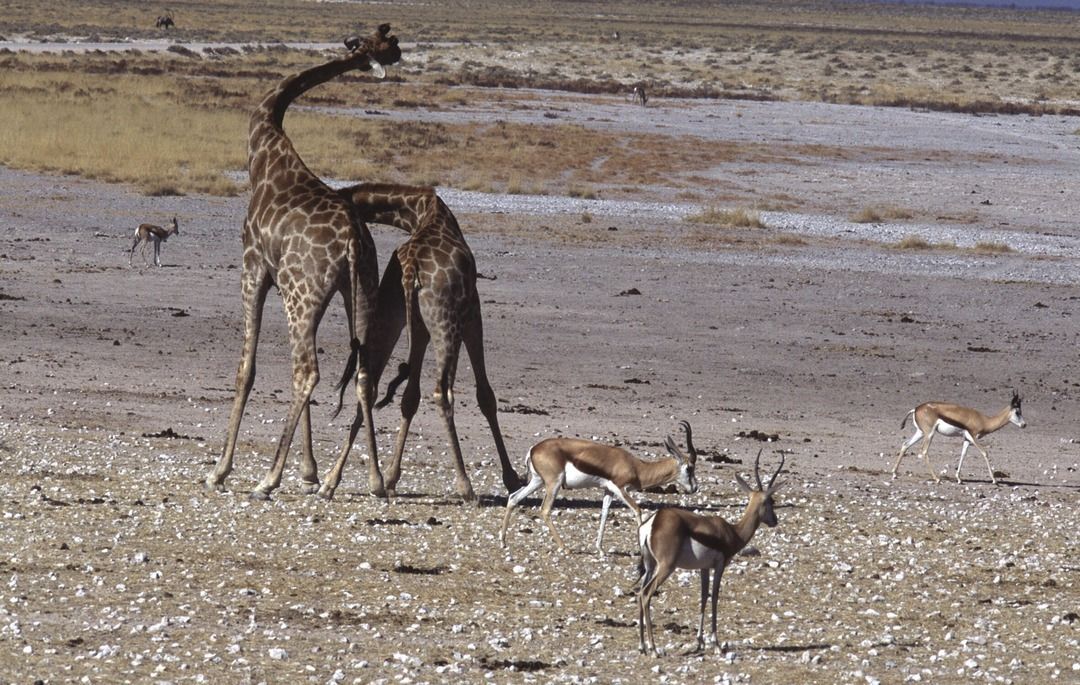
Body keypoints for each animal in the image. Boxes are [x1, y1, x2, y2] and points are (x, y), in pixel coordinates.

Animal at [203, 24, 401, 499]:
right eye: (383, 41)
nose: (399, 53)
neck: (262, 145)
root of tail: (352, 241)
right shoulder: (295, 285)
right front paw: (310, 472)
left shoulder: (254, 267)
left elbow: (247, 368)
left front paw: (220, 469)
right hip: (357, 291)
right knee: (363, 374)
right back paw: (373, 481)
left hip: (303, 292)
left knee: (307, 372)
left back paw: (268, 479)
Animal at [328, 182, 522, 501]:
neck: (420, 210)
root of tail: (410, 269)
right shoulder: (473, 312)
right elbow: (485, 396)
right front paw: (512, 479)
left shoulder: (417, 327)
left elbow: (409, 398)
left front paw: (392, 477)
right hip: (446, 321)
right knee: (442, 392)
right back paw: (465, 486)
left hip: (390, 315)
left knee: (366, 382)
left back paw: (334, 481)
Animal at [498, 417, 699, 553]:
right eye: (689, 468)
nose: (695, 488)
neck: (636, 466)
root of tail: (533, 449)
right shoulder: (620, 488)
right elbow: (637, 510)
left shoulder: (608, 491)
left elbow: (604, 514)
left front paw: (600, 549)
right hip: (553, 484)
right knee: (545, 509)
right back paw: (565, 547)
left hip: (537, 481)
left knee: (513, 498)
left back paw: (503, 541)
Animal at [635, 447, 781, 656]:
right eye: (770, 501)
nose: (774, 520)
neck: (733, 532)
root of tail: (654, 521)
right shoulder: (719, 566)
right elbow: (714, 597)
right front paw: (717, 644)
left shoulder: (703, 568)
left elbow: (703, 597)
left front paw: (700, 642)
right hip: (665, 567)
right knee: (646, 594)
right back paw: (654, 649)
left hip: (650, 565)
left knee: (640, 593)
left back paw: (642, 646)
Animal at [894, 388, 1028, 486]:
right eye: (1017, 412)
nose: (1024, 425)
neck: (984, 420)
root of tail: (915, 409)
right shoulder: (973, 436)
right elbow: (985, 453)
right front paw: (994, 480)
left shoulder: (966, 439)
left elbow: (963, 454)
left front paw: (959, 478)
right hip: (930, 434)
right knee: (924, 451)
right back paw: (937, 479)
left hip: (921, 433)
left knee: (905, 444)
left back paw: (894, 474)